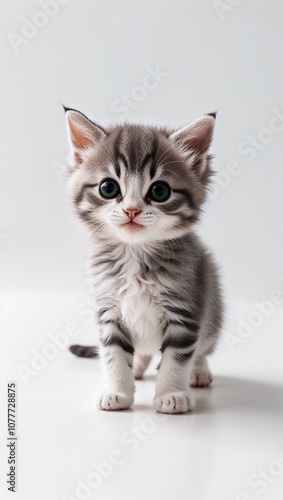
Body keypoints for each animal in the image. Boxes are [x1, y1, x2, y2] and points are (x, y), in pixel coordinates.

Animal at [65, 108, 223, 414]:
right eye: (108, 188)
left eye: (160, 191)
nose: (131, 210)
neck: (134, 254)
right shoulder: (109, 311)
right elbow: (114, 354)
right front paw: (118, 391)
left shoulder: (185, 312)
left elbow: (177, 357)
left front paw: (172, 394)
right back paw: (137, 367)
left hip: (212, 314)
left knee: (201, 349)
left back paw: (199, 371)